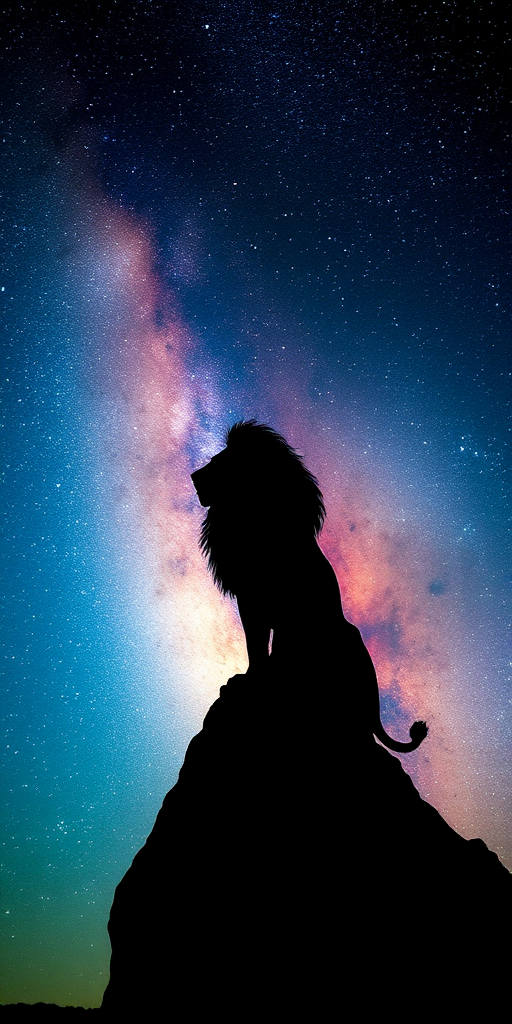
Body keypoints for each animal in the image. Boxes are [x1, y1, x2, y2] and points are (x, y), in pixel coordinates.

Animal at [191, 420, 428, 753]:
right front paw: (250, 678)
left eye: (219, 463)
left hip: (347, 638)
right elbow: (257, 646)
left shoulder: (261, 602)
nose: (193, 477)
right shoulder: (251, 602)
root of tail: (373, 712)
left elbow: (260, 647)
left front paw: (254, 681)